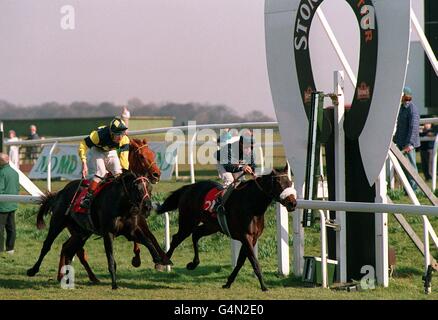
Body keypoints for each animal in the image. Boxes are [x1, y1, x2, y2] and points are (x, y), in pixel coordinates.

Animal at [156, 166, 296, 292]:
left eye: (290, 183)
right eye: (279, 184)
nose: (293, 203)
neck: (252, 204)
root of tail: (189, 188)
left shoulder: (252, 238)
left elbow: (240, 261)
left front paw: (228, 283)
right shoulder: (246, 237)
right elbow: (254, 262)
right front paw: (264, 286)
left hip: (211, 226)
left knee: (196, 234)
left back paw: (194, 263)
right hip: (187, 223)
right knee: (176, 238)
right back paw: (162, 263)